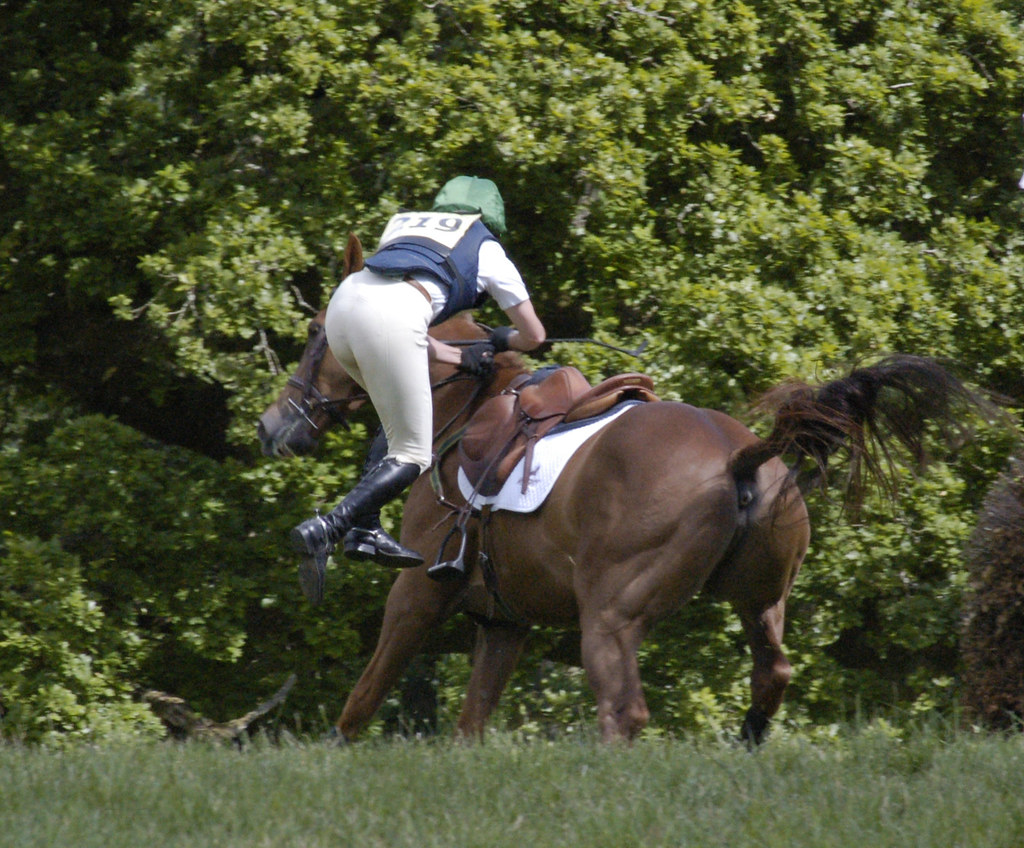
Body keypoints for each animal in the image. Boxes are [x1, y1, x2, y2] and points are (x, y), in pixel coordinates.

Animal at [258, 236, 981, 744]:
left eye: (317, 333)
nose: (272, 427)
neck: (465, 406)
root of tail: (739, 455)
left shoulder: (417, 595)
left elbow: (364, 698)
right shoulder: (503, 621)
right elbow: (470, 724)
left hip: (610, 612)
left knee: (623, 710)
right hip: (761, 598)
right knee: (771, 675)